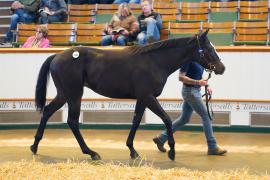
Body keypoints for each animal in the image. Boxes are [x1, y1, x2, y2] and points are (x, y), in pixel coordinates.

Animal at [30, 30, 226, 161]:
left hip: (64, 94)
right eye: (208, 49)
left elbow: (136, 120)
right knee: (72, 121)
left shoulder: (142, 98)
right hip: (74, 94)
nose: (222, 68)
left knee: (47, 111)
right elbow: (167, 119)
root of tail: (56, 56)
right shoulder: (148, 96)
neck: (155, 61)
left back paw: (34, 145)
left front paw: (132, 150)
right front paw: (171, 151)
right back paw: (91, 152)